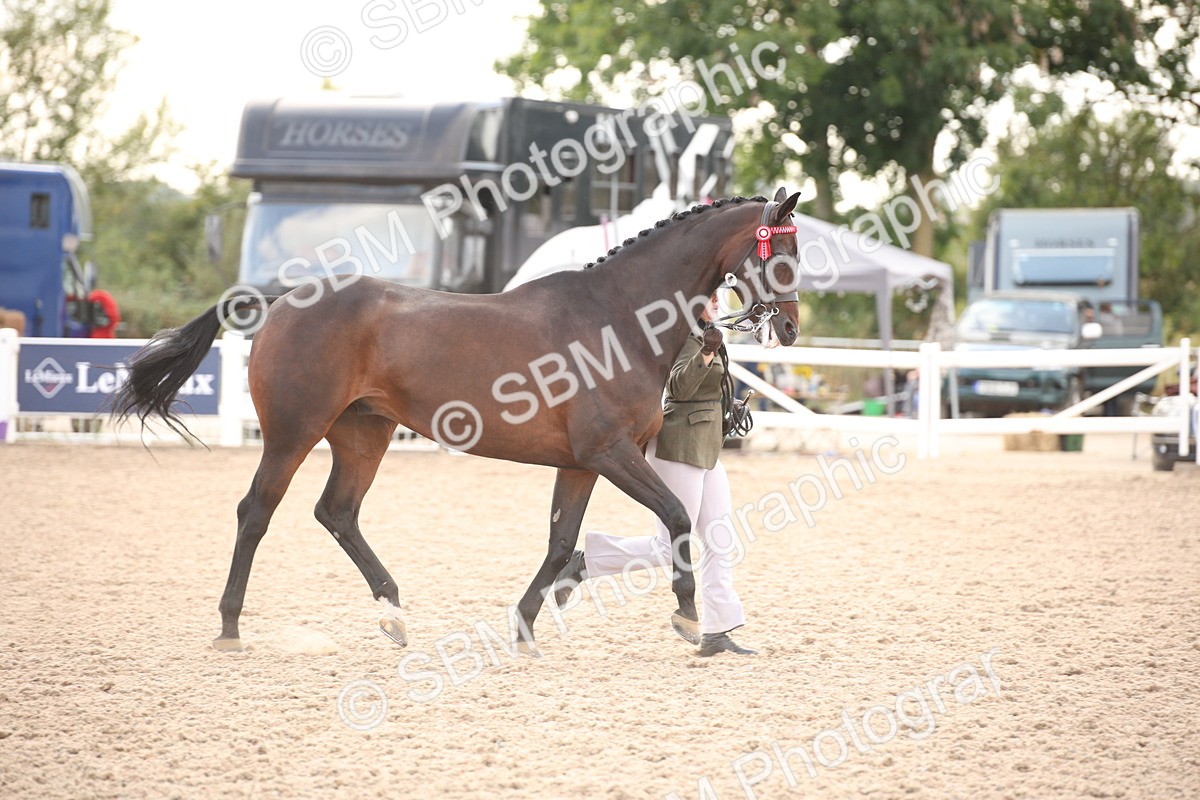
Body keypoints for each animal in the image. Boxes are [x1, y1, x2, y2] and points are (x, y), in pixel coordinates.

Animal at [111, 188, 803, 654]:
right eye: (786, 251)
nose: (792, 328)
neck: (615, 317)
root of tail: (282, 300)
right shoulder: (610, 453)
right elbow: (679, 518)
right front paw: (690, 620)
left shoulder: (583, 462)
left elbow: (560, 543)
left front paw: (525, 625)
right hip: (291, 433)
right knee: (256, 511)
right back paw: (230, 626)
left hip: (363, 433)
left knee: (337, 512)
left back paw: (392, 614)